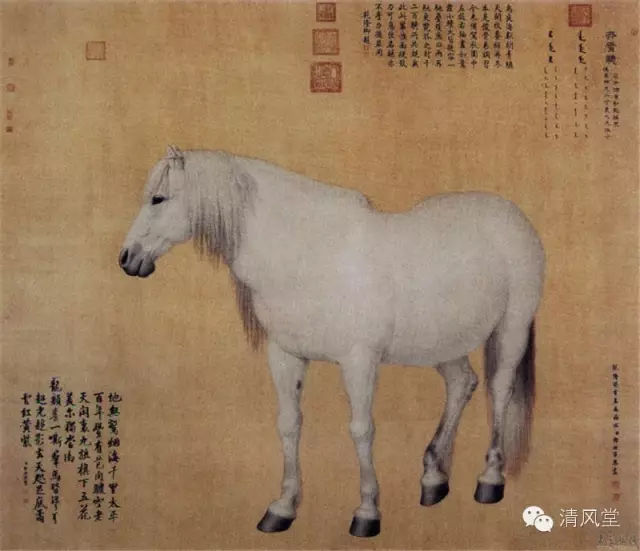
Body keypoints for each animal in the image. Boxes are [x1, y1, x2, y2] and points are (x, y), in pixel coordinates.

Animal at [119, 146, 545, 538]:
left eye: (159, 198)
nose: (127, 258)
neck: (310, 256)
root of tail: (513, 216)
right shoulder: (285, 355)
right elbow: (289, 425)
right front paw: (282, 508)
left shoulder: (359, 361)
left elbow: (361, 429)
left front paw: (367, 513)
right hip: (443, 344)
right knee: (461, 385)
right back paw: (433, 480)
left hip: (511, 329)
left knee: (498, 391)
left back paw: (489, 480)